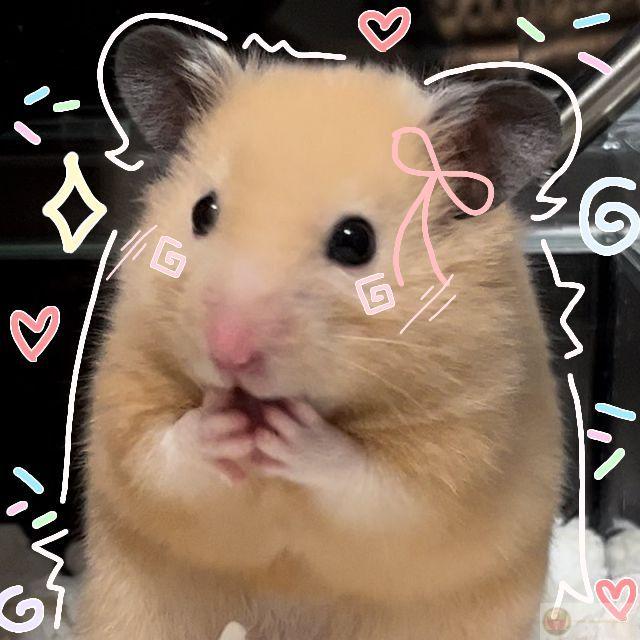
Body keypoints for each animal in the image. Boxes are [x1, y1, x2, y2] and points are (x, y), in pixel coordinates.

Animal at [78, 26, 563, 640]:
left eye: (355, 241)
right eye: (203, 211)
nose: (228, 353)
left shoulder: (465, 446)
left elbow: (378, 486)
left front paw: (293, 433)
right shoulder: (128, 386)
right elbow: (157, 455)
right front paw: (222, 424)